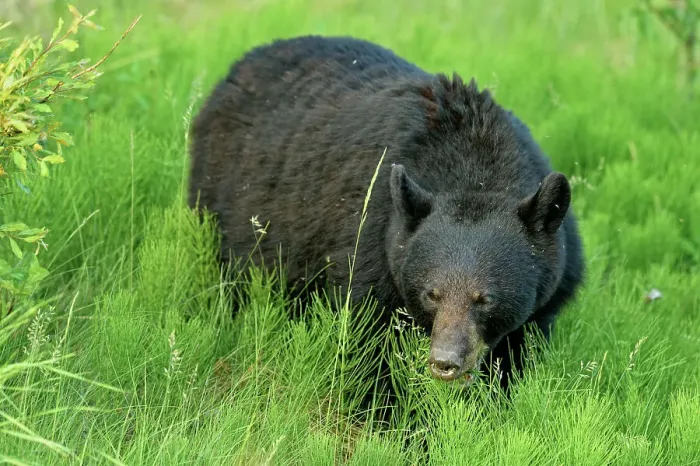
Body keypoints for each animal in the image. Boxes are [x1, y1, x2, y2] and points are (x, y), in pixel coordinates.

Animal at [188, 35, 585, 391]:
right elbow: (369, 345)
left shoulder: (545, 297)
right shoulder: (371, 242)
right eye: (431, 294)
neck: (476, 168)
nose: (445, 362)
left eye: (485, 298)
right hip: (221, 200)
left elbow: (514, 357)